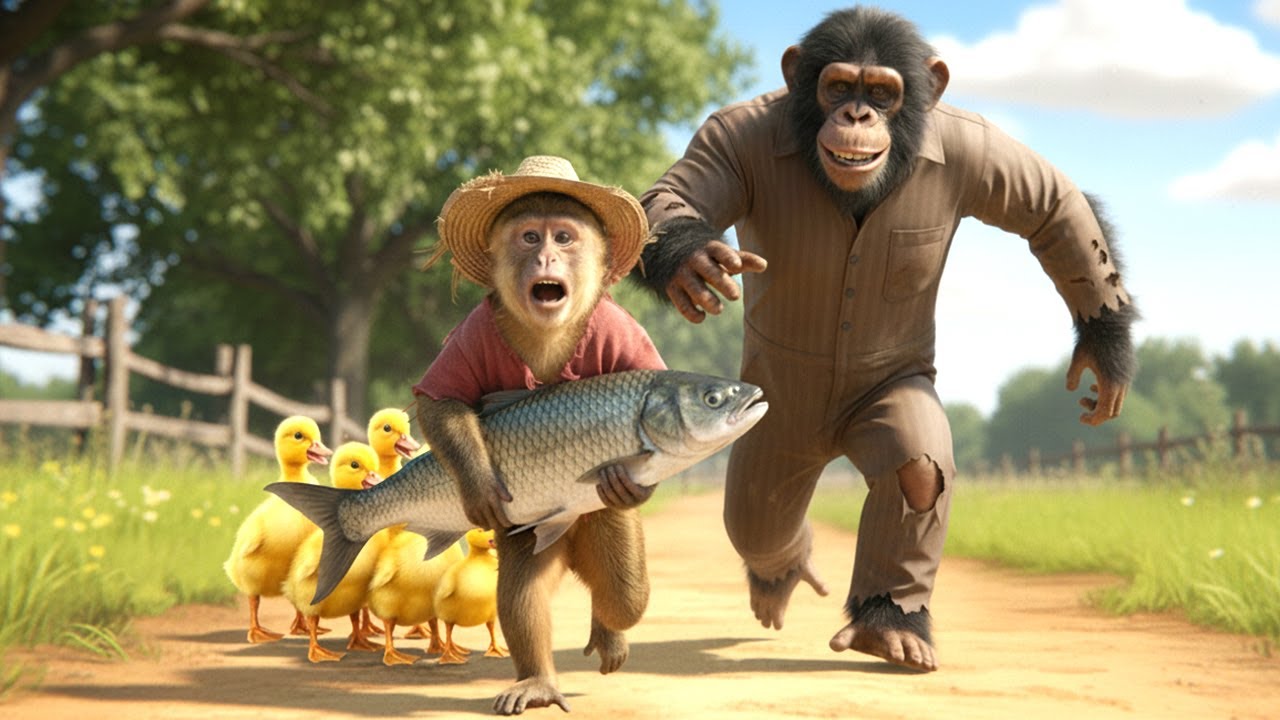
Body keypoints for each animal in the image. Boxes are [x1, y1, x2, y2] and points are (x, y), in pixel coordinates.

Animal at [413, 156, 664, 714]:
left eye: (564, 237)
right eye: (530, 236)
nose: (546, 255)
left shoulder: (621, 331)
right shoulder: (473, 330)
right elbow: (441, 403)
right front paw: (481, 486)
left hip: (604, 527)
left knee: (623, 594)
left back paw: (608, 635)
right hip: (529, 528)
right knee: (524, 595)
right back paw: (537, 685)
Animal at [632, 6, 1137, 672]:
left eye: (882, 93)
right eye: (839, 87)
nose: (857, 116)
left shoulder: (975, 147)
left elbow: (1054, 210)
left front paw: (1106, 353)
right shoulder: (728, 136)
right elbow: (671, 199)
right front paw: (694, 261)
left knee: (908, 474)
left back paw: (888, 624)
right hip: (771, 437)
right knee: (758, 517)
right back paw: (779, 577)